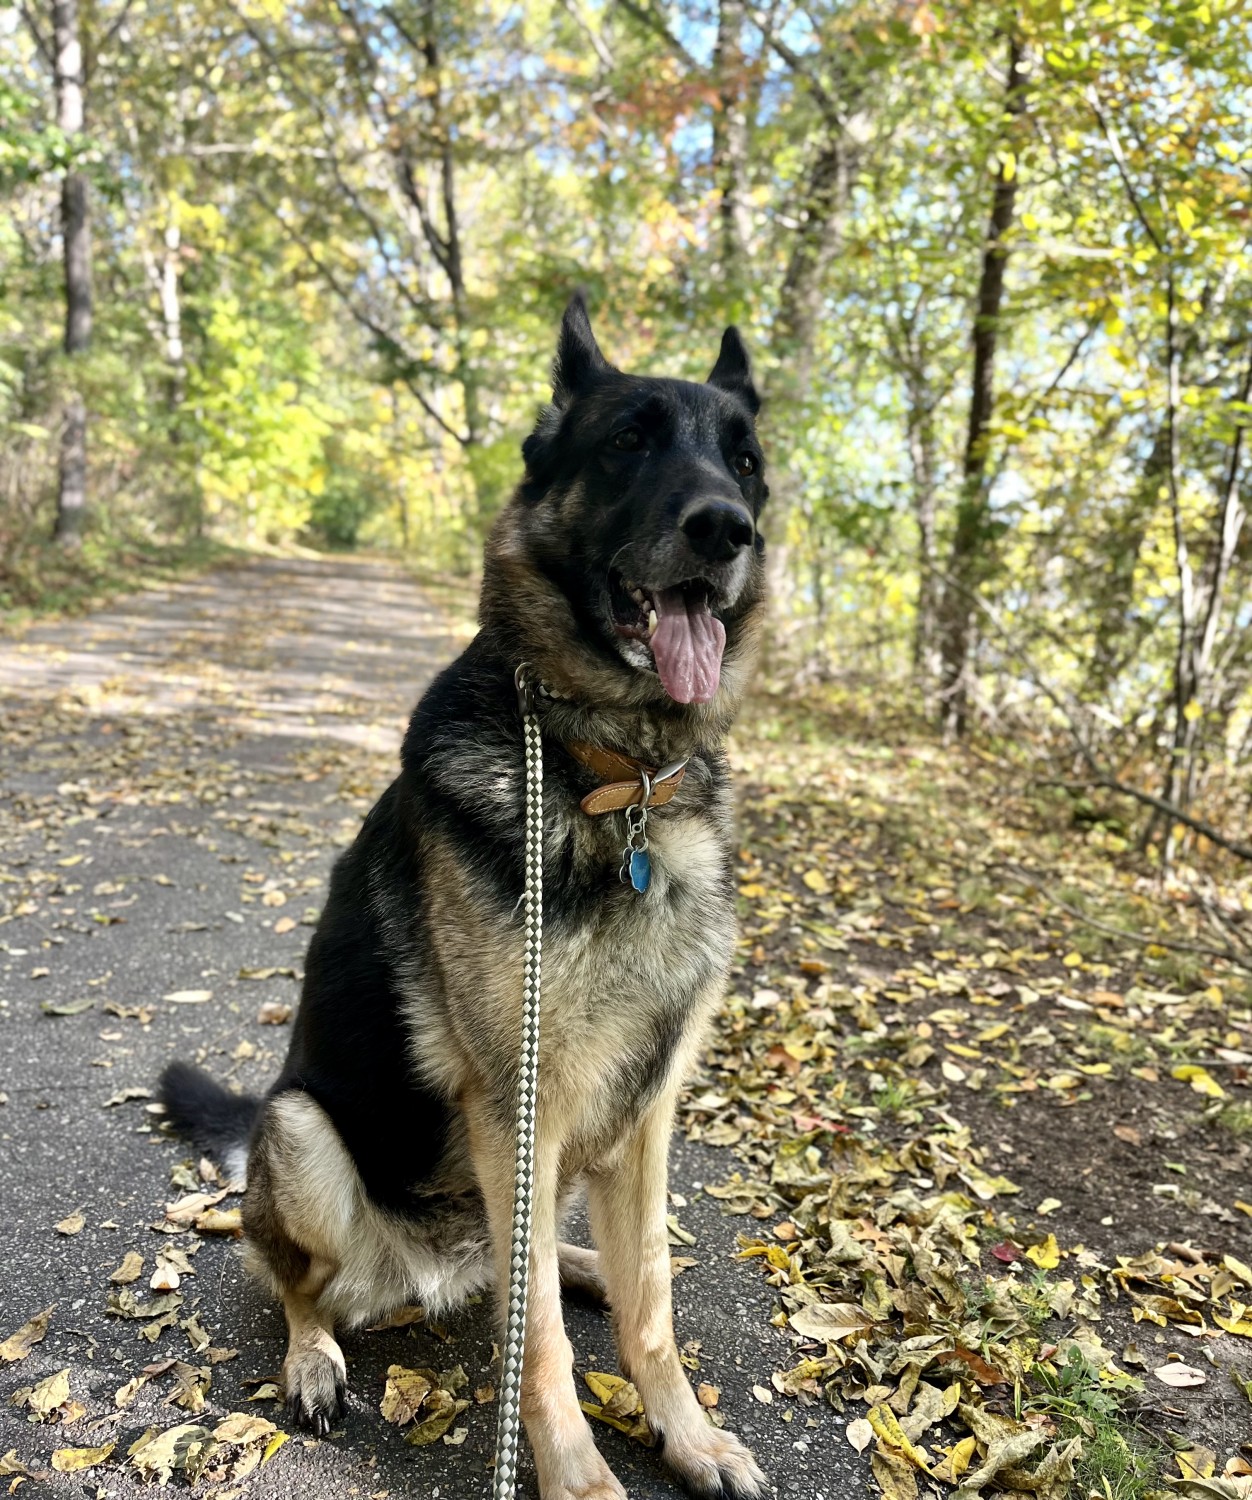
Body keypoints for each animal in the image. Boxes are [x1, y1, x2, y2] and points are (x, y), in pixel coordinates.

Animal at [161, 295, 767, 1500]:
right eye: (628, 442)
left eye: (744, 462)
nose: (727, 529)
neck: (611, 777)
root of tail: (422, 1275)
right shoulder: (515, 1102)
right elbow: (540, 1343)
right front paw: (577, 1475)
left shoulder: (647, 1111)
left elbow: (655, 1300)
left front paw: (687, 1435)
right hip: (303, 1132)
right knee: (304, 1285)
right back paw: (314, 1357)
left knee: (534, 1268)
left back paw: (579, 1264)